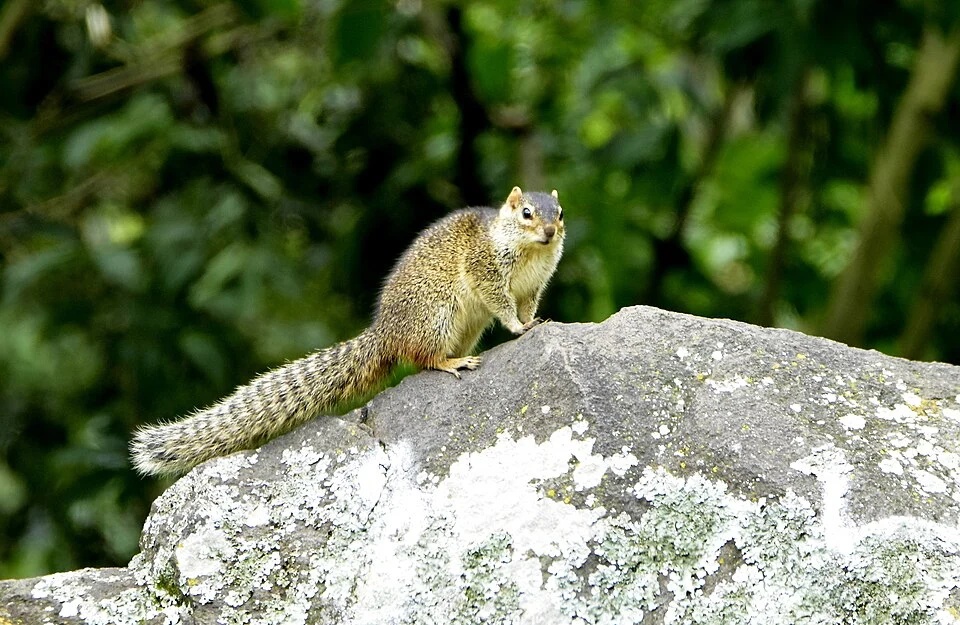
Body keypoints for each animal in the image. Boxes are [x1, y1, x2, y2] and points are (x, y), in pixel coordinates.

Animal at [130, 186, 565, 476]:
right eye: (527, 213)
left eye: (559, 213)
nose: (549, 232)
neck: (531, 252)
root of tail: (384, 333)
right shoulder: (486, 270)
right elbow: (501, 302)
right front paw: (518, 327)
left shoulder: (535, 285)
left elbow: (528, 305)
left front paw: (534, 322)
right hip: (437, 317)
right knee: (424, 358)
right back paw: (452, 362)